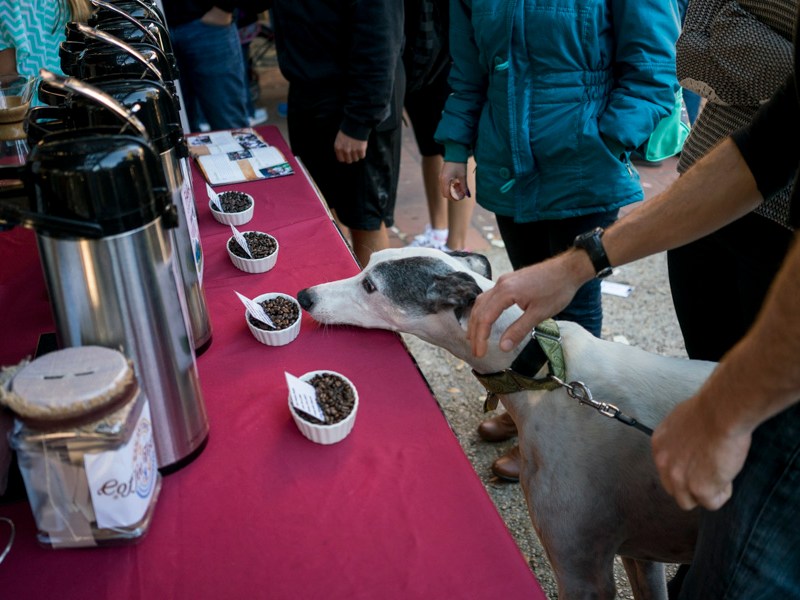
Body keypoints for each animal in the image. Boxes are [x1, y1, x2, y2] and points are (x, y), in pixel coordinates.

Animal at [296, 247, 716, 600]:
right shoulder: (641, 557)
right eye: (365, 265)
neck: (542, 374)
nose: (304, 296)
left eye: (370, 286)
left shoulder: (582, 570)